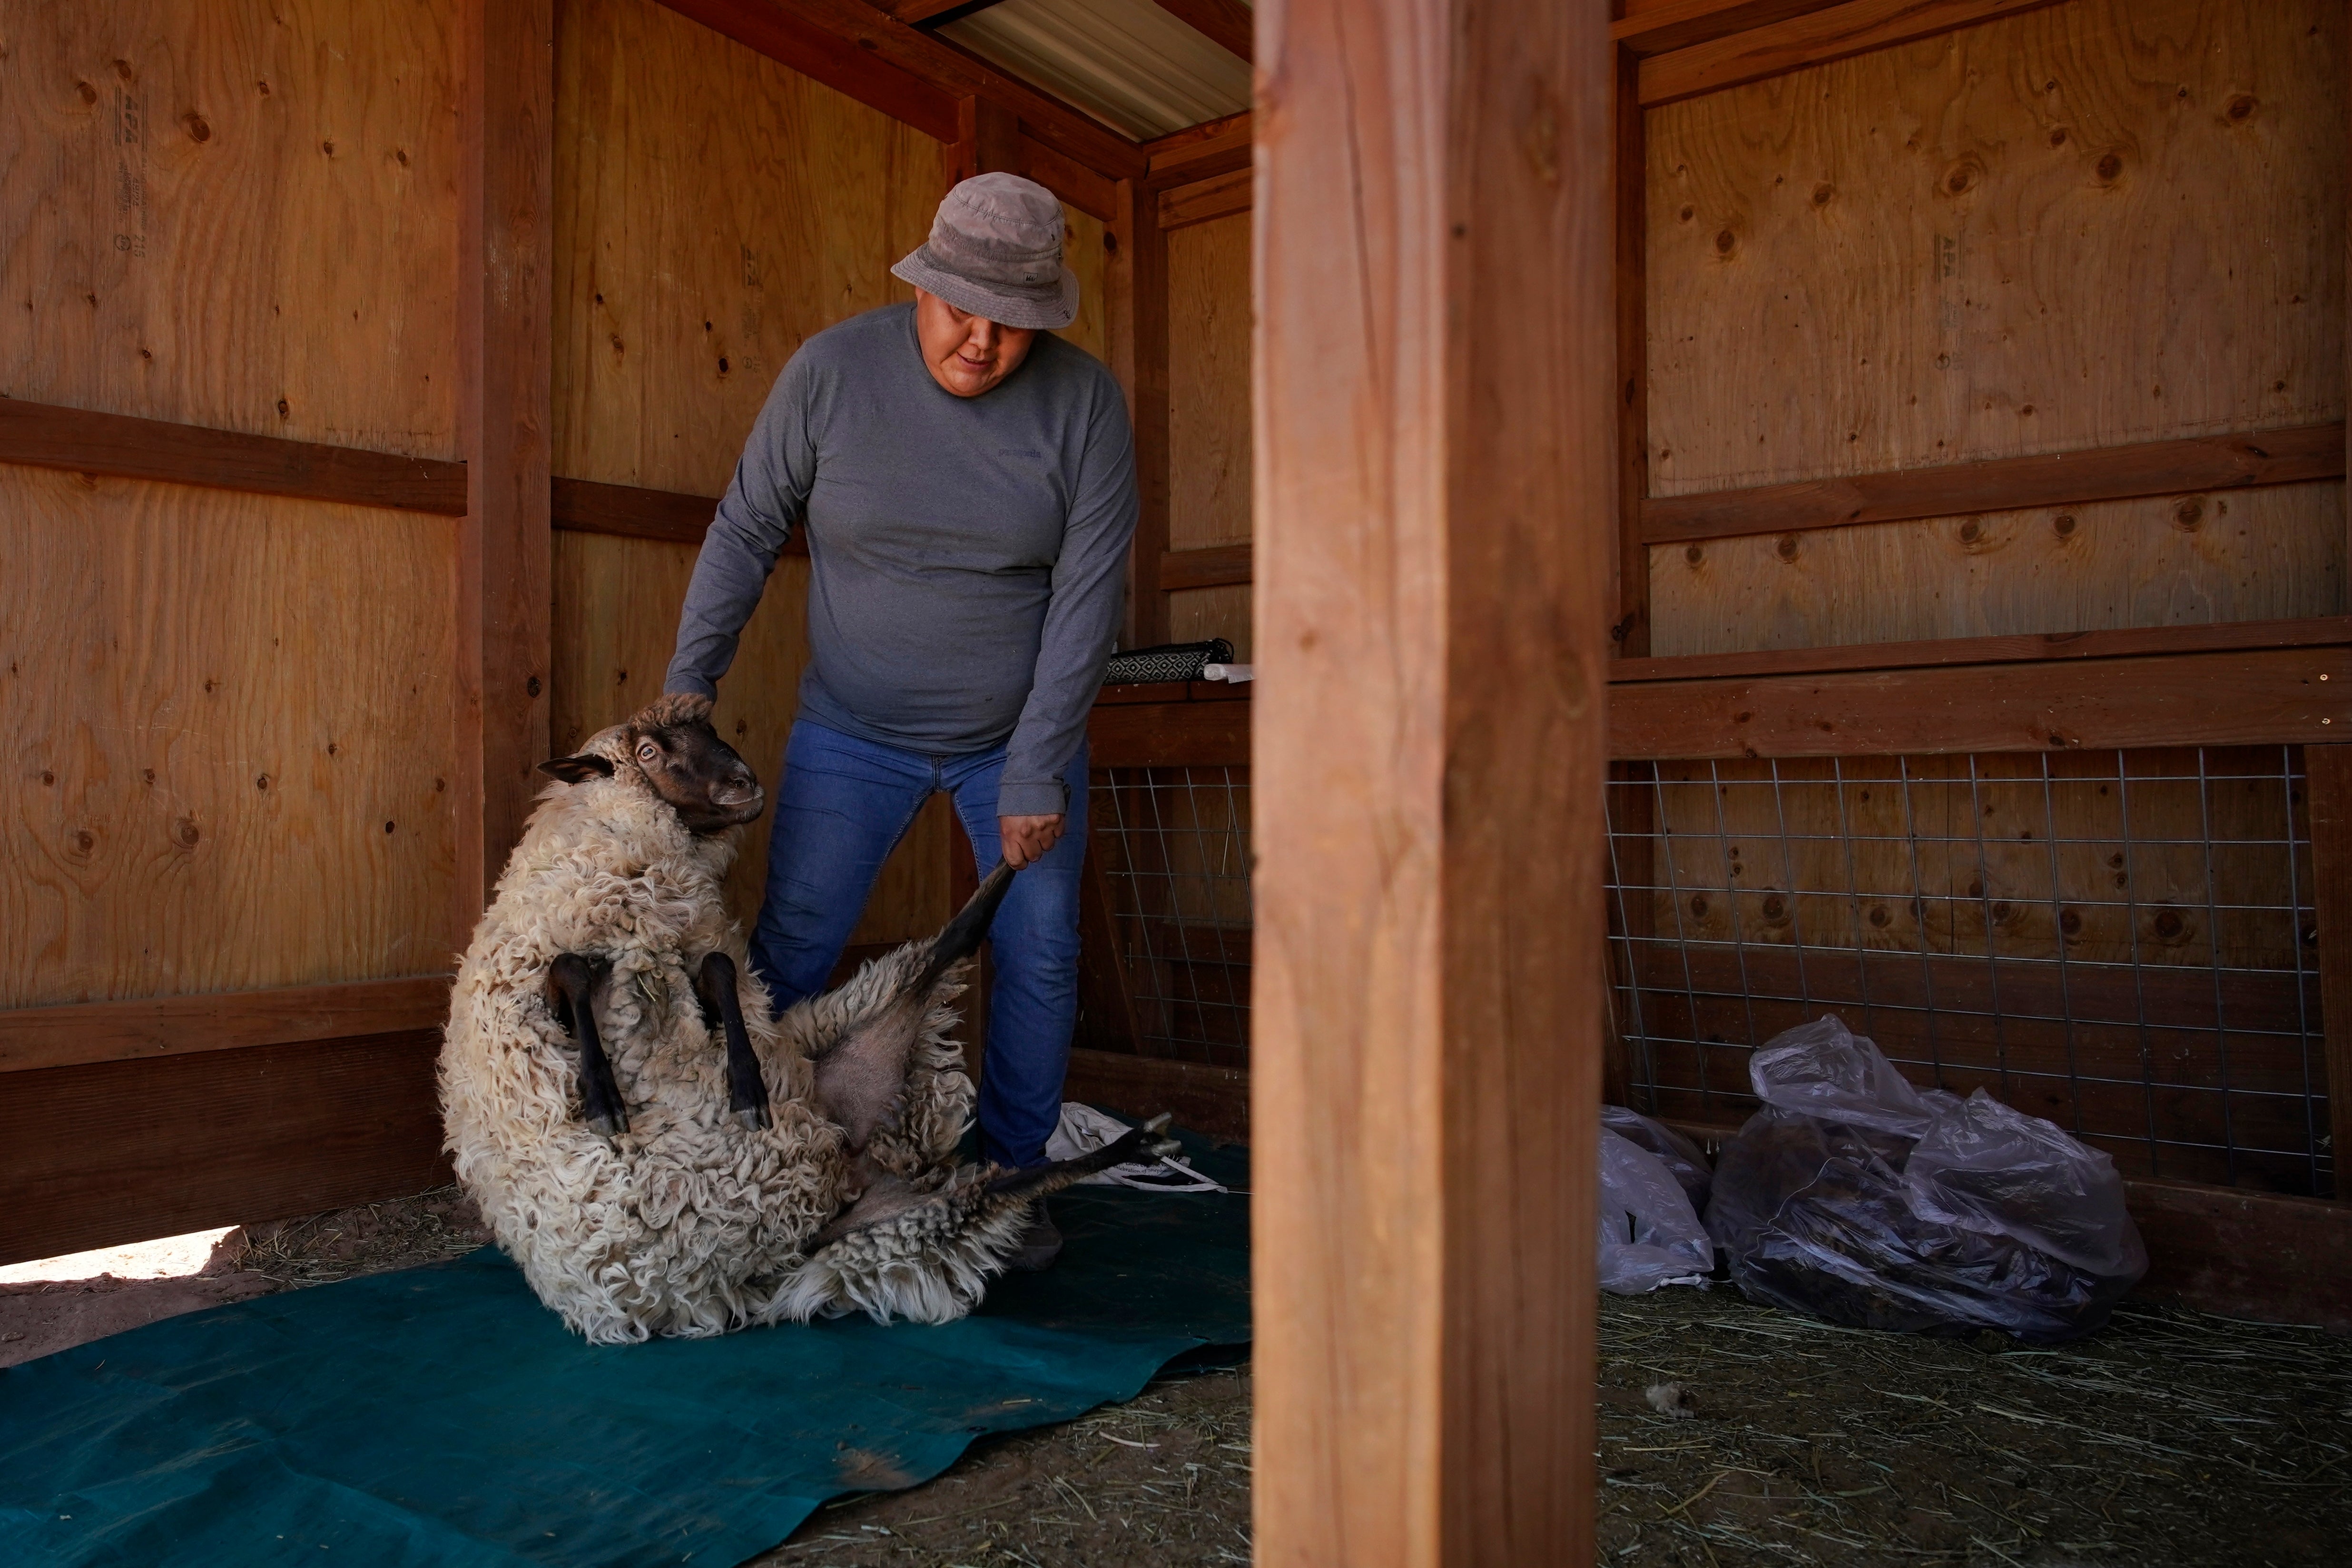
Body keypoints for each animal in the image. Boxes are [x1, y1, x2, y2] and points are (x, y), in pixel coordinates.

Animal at [440, 692, 1178, 1344]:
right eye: (648, 751)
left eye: (710, 732)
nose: (743, 782)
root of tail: (846, 1177)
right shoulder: (556, 958)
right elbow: (573, 971)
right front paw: (603, 1101)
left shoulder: (699, 943)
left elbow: (721, 968)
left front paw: (744, 1085)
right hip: (886, 1215)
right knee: (987, 1166)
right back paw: (1133, 1144)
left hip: (874, 1141)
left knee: (957, 943)